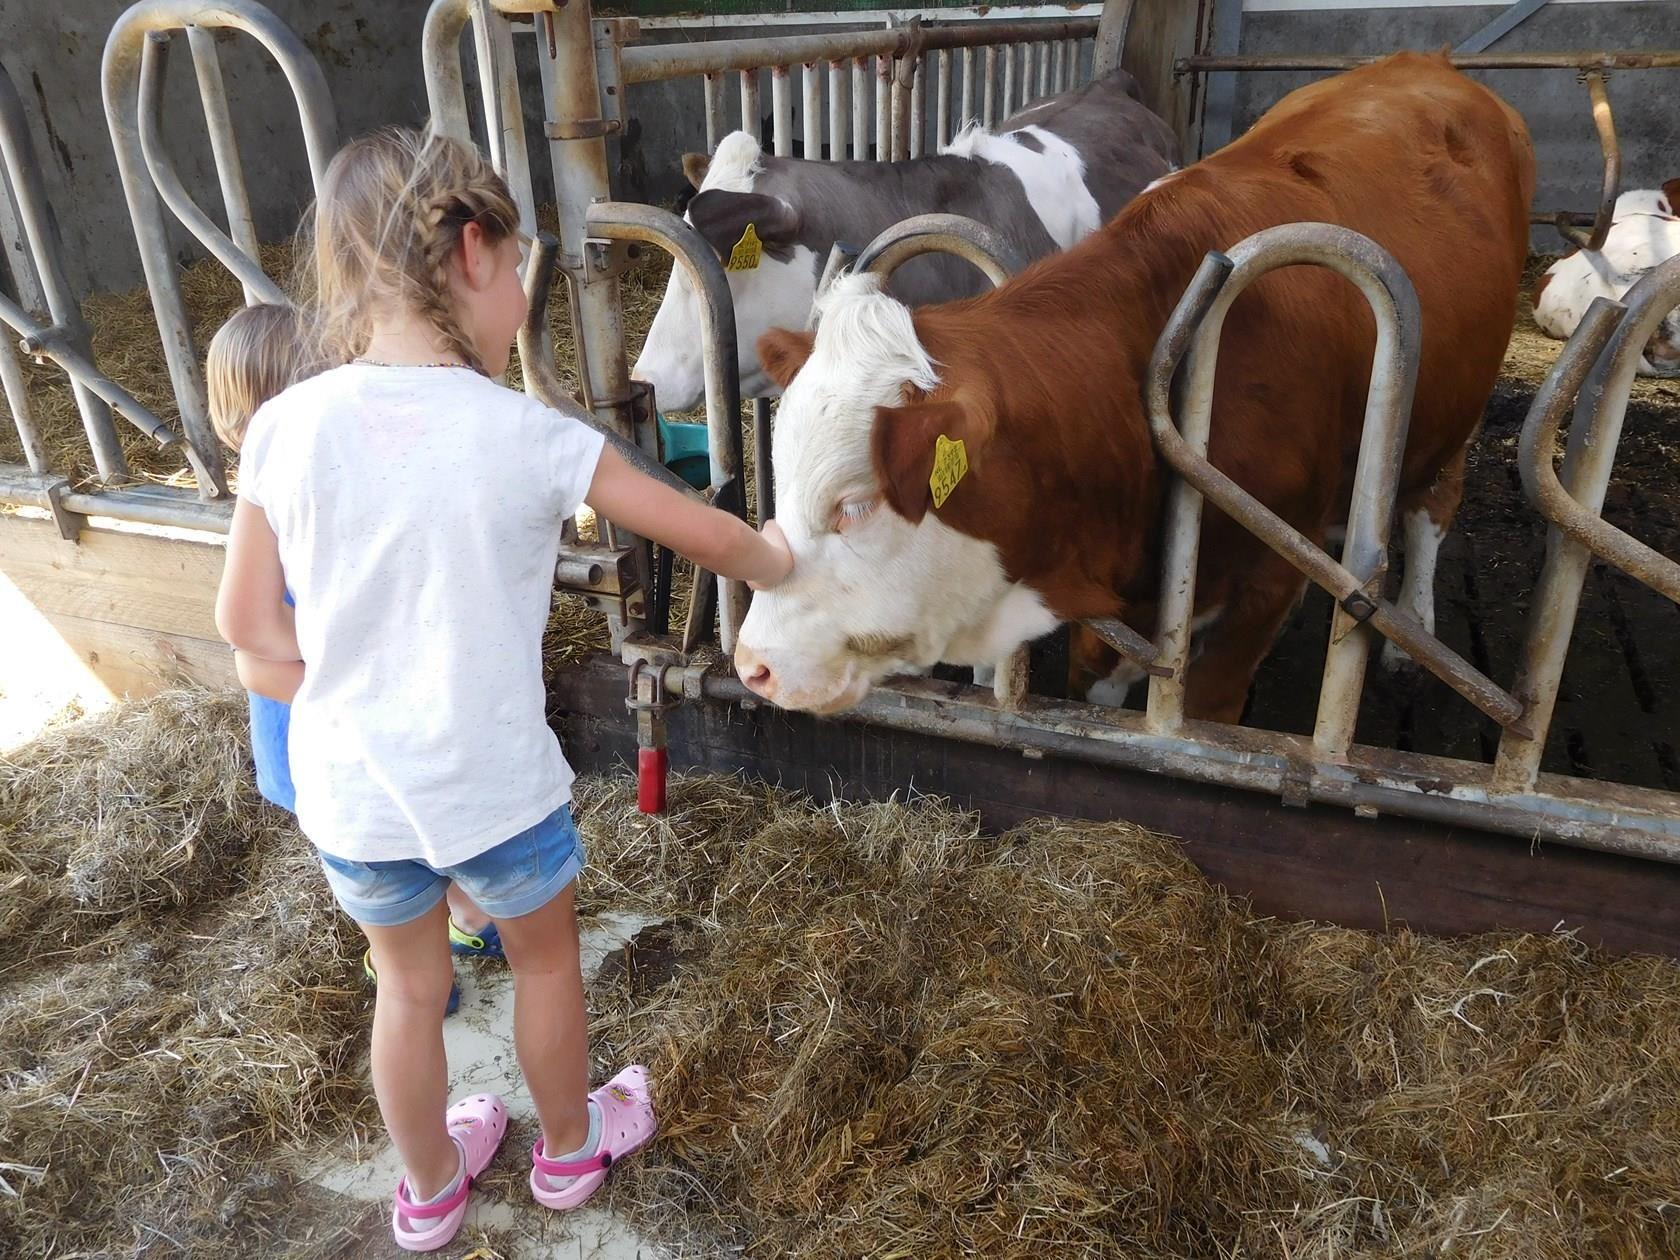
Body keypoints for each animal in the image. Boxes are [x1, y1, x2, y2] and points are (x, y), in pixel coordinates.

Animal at [735, 56, 1538, 719]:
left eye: (858, 504)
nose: (752, 665)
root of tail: (1427, 63)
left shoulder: (1269, 580)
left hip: (1457, 410)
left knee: (1432, 506)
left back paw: (1410, 634)